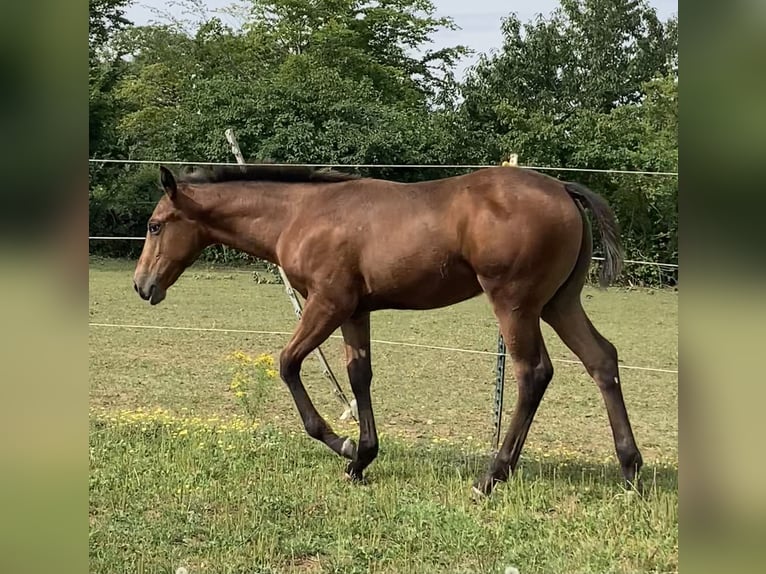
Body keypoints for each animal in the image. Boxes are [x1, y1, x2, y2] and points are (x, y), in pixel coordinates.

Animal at [135, 164, 644, 498]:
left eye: (155, 225)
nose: (143, 286)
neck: (301, 214)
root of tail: (563, 187)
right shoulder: (355, 311)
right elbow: (359, 376)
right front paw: (362, 458)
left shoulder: (327, 303)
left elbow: (288, 363)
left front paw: (342, 446)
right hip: (560, 303)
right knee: (602, 359)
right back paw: (631, 471)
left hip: (514, 304)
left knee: (533, 373)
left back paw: (491, 476)